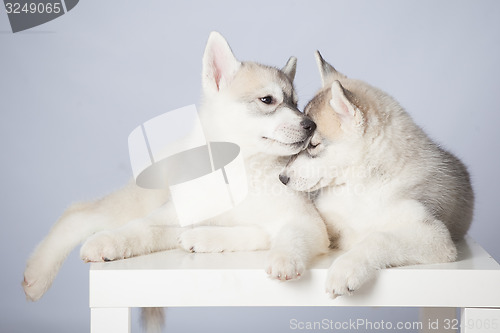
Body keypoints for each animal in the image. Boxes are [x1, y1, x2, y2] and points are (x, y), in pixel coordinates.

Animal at [23, 33, 330, 300]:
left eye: (296, 103)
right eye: (267, 100)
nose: (311, 125)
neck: (236, 173)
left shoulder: (305, 221)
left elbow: (288, 235)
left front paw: (282, 258)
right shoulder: (177, 211)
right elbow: (144, 228)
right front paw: (112, 240)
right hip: (141, 200)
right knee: (78, 213)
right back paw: (39, 272)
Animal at [280, 52, 474, 298]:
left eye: (313, 145)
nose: (282, 178)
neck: (361, 188)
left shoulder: (435, 236)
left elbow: (378, 238)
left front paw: (345, 269)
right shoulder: (323, 222)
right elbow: (299, 228)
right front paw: (285, 257)